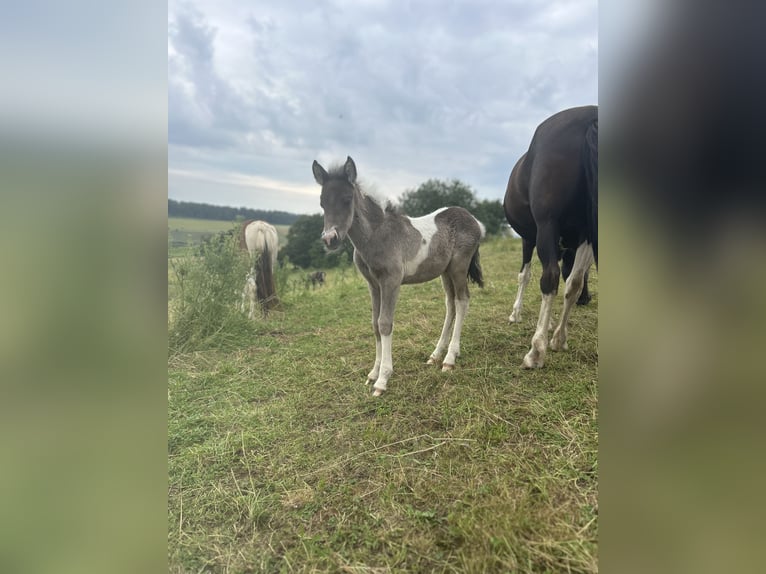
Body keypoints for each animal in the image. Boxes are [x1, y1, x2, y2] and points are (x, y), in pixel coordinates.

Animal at [314, 159, 486, 400]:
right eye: (322, 203)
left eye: (347, 199)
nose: (330, 239)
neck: (375, 235)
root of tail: (474, 221)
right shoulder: (373, 285)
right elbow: (374, 324)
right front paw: (373, 373)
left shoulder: (391, 281)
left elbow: (385, 323)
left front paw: (383, 379)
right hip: (445, 272)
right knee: (450, 305)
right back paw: (436, 355)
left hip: (459, 267)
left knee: (462, 301)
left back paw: (449, 359)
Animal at [504, 105, 600, 368]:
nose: (588, 300)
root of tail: (590, 115)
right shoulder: (581, 239)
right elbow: (574, 282)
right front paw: (556, 334)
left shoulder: (530, 238)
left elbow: (524, 275)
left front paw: (516, 313)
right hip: (589, 233)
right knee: (572, 283)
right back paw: (557, 339)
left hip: (547, 226)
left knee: (550, 277)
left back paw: (536, 351)